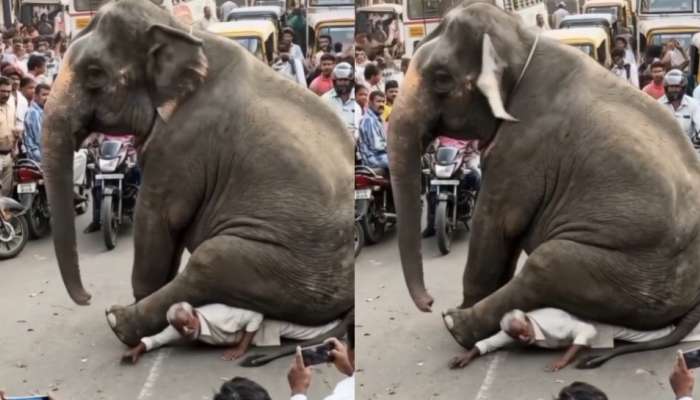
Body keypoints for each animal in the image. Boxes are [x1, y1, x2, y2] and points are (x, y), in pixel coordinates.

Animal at [41, 0, 354, 363]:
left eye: (94, 74)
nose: (87, 297)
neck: (179, 30)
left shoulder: (183, 141)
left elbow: (158, 218)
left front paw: (136, 299)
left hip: (298, 269)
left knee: (211, 260)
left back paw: (118, 320)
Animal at [387, 0, 700, 368]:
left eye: (441, 78)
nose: (429, 302)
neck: (523, 42)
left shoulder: (523, 146)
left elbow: (494, 225)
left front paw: (458, 310)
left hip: (638, 274)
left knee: (546, 264)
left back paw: (456, 324)